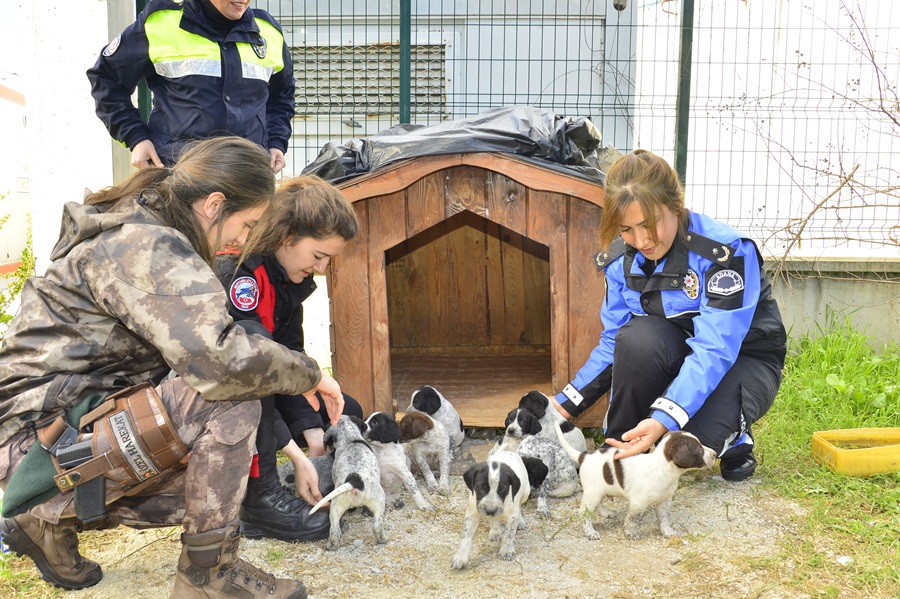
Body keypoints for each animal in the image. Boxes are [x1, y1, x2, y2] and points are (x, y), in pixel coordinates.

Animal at [310, 414, 386, 552]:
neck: (350, 439)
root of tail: (354, 481)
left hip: (336, 508)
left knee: (335, 530)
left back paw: (332, 545)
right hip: (378, 501)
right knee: (376, 526)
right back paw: (382, 539)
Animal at [556, 422, 716, 544]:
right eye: (699, 448)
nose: (715, 454)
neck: (664, 469)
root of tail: (585, 457)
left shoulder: (664, 501)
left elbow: (664, 519)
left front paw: (668, 532)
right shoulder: (638, 504)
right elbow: (631, 520)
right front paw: (631, 533)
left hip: (598, 491)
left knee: (599, 504)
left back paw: (606, 513)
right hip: (593, 493)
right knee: (584, 513)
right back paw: (590, 532)